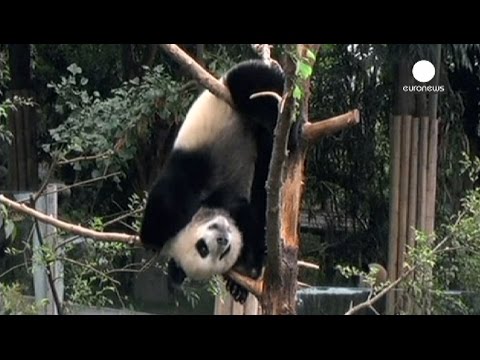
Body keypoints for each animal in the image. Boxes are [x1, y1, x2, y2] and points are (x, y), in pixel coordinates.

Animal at [141, 57, 286, 302]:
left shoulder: (192, 183)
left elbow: (166, 201)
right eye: (205, 251)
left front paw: (150, 240)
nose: (223, 239)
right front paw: (240, 280)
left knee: (253, 86)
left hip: (229, 92)